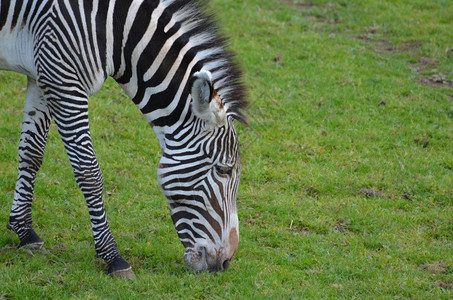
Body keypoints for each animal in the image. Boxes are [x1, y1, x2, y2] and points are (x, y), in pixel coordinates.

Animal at [0, 0, 247, 278]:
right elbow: (89, 173)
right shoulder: (62, 81)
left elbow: (31, 153)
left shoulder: (40, 75)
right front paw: (113, 256)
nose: (225, 263)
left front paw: (25, 232)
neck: (115, 30)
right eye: (224, 170)